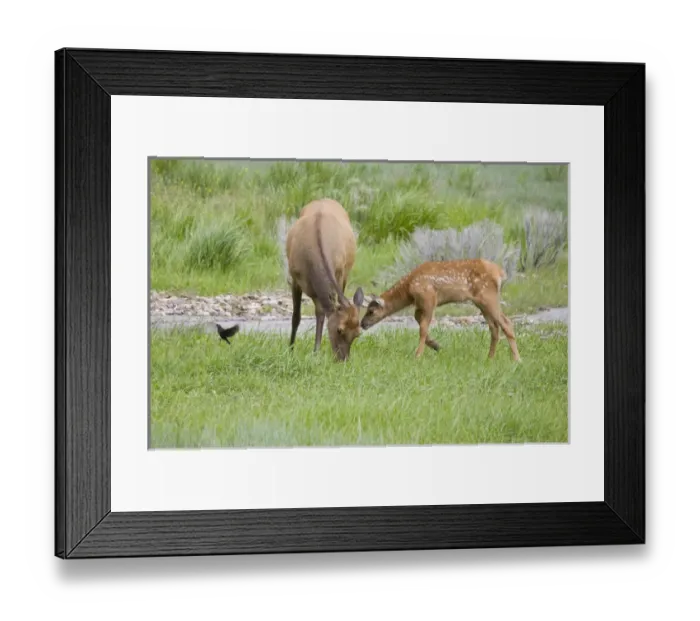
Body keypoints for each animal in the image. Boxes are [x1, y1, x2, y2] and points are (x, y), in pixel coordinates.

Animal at [285, 198, 365, 362]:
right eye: (339, 330)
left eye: (358, 333)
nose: (343, 359)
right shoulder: (295, 278)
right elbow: (296, 316)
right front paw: (290, 350)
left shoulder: (339, 273)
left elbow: (322, 312)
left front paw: (316, 351)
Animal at [360, 258, 521, 361]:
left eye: (371, 311)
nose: (362, 323)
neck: (409, 290)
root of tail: (500, 273)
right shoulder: (420, 304)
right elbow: (418, 319)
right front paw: (436, 345)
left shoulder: (429, 298)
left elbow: (423, 328)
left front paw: (418, 355)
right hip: (481, 302)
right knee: (494, 327)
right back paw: (490, 358)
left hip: (488, 296)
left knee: (506, 323)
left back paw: (516, 359)